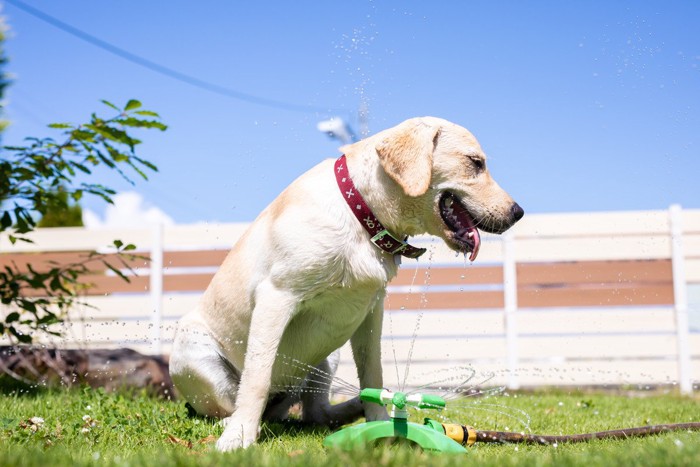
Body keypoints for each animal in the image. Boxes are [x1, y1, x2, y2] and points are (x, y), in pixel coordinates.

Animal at [168, 115, 520, 452]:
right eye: (476, 162)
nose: (518, 212)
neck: (362, 215)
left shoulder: (370, 311)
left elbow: (373, 375)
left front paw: (384, 426)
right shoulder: (275, 298)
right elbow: (257, 377)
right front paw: (238, 437)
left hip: (327, 358)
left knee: (316, 413)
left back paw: (350, 409)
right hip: (194, 352)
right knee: (228, 404)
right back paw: (233, 423)